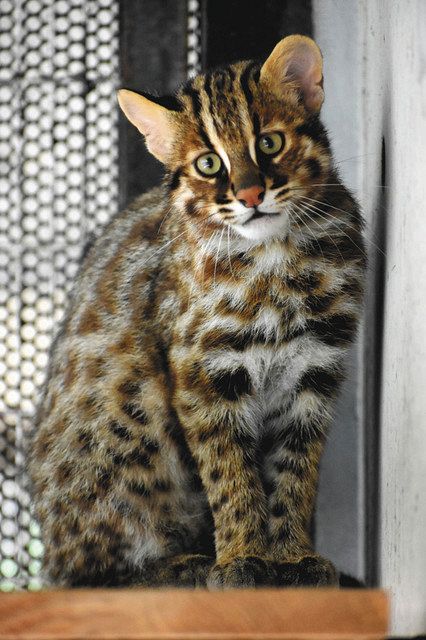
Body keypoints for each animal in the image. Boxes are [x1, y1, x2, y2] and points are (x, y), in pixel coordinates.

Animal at [28, 33, 364, 584]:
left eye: (269, 143)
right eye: (209, 163)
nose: (250, 194)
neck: (275, 256)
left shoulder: (315, 365)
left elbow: (295, 470)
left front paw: (293, 555)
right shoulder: (203, 369)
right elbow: (230, 472)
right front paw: (243, 556)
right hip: (127, 415)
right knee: (87, 572)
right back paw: (180, 565)